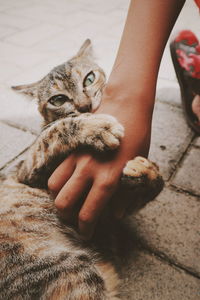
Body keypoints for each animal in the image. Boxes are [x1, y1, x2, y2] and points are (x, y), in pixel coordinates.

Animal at [0, 40, 163, 300]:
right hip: (68, 270)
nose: (85, 105)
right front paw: (96, 126)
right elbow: (54, 131)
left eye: (89, 79)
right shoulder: (27, 169)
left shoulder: (107, 210)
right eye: (58, 100)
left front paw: (146, 171)